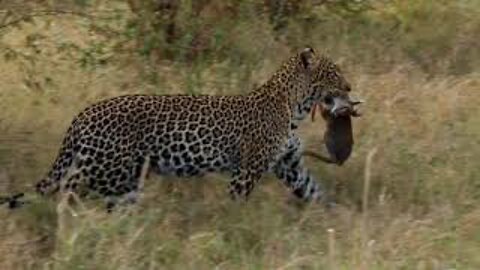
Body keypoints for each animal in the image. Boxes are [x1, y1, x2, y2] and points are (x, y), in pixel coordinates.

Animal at [0, 47, 356, 210]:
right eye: (333, 72)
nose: (350, 87)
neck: (294, 106)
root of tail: (83, 114)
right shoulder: (248, 169)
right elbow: (236, 201)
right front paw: (233, 226)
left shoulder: (290, 165)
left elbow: (314, 191)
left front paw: (338, 217)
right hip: (104, 168)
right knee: (67, 189)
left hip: (124, 179)